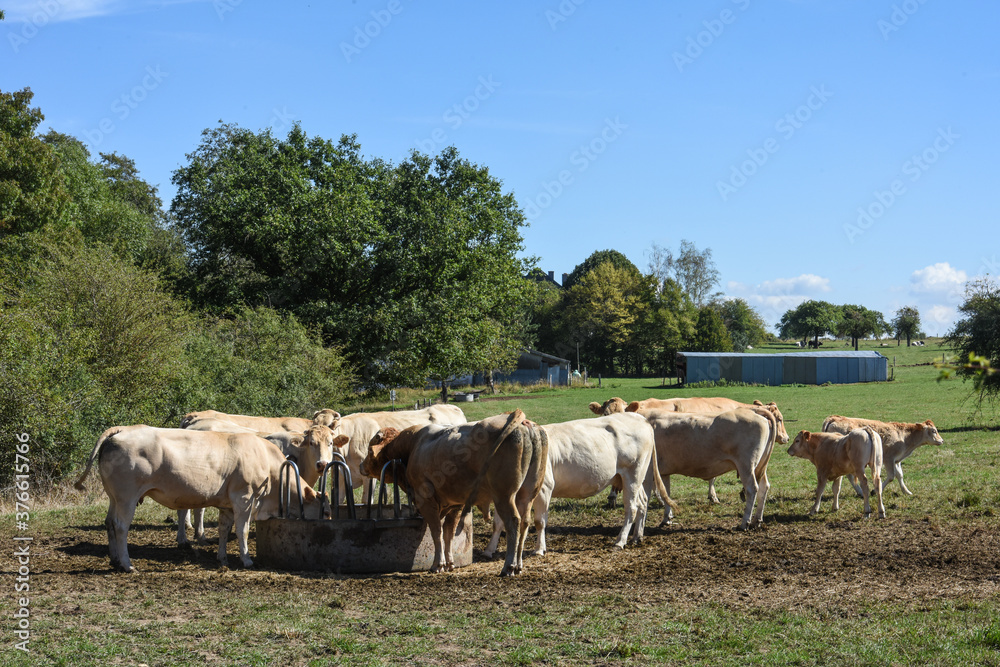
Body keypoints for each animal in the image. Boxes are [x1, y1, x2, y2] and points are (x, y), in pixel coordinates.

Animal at [73, 425, 326, 572]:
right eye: (325, 510)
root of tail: (121, 430)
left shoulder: (227, 504)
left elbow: (224, 529)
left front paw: (222, 558)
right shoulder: (244, 498)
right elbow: (242, 530)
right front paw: (246, 559)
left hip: (114, 497)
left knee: (109, 523)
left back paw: (115, 560)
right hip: (127, 497)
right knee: (120, 526)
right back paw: (127, 564)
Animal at [360, 411, 547, 576]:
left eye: (369, 451)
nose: (362, 466)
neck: (413, 446)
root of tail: (522, 422)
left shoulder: (427, 500)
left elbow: (437, 532)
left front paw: (438, 564)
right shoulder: (455, 503)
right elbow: (448, 532)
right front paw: (449, 563)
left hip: (504, 496)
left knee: (513, 522)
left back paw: (509, 567)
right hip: (527, 494)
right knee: (524, 522)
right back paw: (519, 565)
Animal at [482, 413, 677, 558]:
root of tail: (640, 418)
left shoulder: (545, 488)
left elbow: (539, 521)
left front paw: (539, 549)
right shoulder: (505, 494)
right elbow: (499, 523)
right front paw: (489, 550)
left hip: (633, 474)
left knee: (632, 508)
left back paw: (620, 541)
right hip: (634, 477)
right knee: (642, 502)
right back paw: (637, 537)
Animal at [642, 407, 778, 530]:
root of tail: (754, 410)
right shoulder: (664, 472)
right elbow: (666, 493)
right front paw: (667, 518)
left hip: (746, 465)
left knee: (752, 489)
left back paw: (745, 523)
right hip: (759, 466)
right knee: (764, 487)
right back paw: (756, 521)